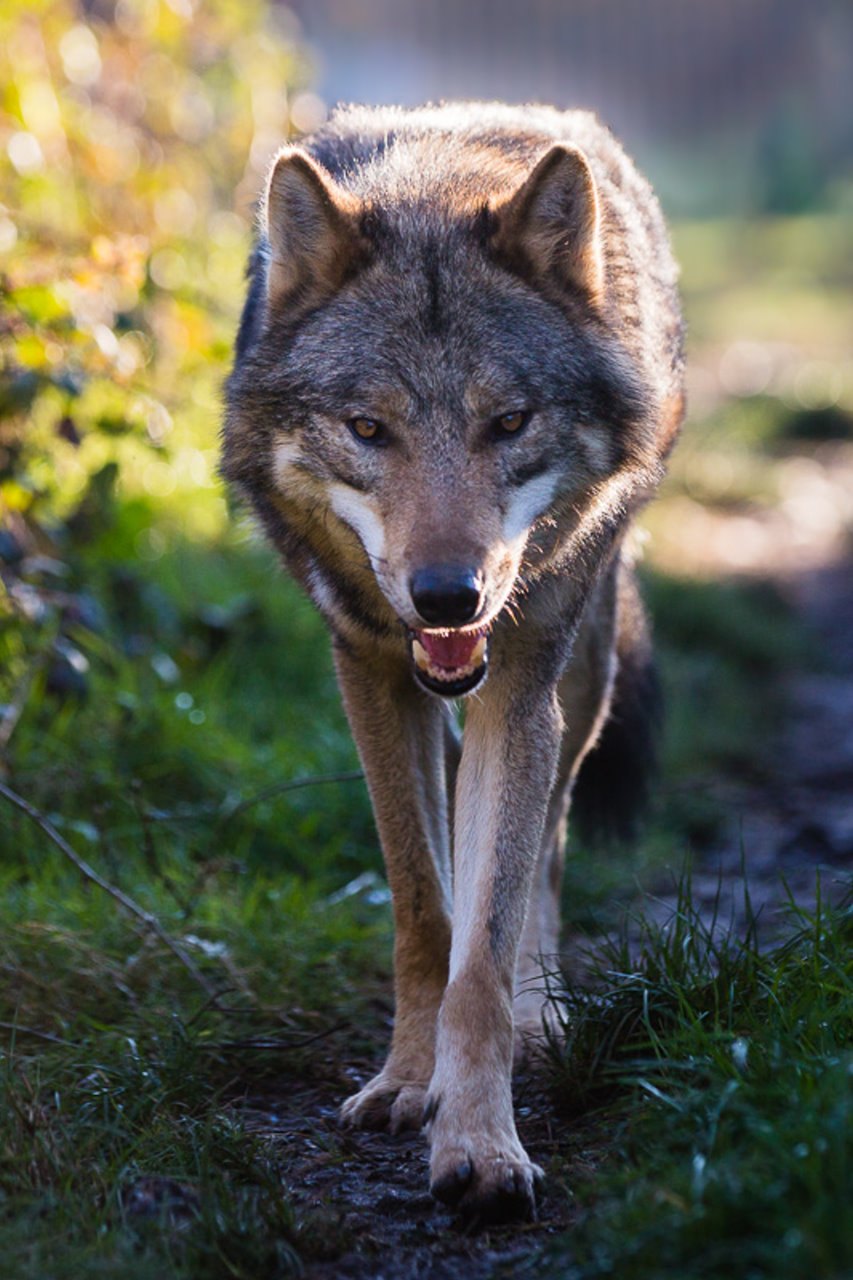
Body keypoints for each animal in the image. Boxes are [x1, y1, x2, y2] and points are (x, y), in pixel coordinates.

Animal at [220, 99, 686, 1218]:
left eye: (507, 421)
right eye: (367, 428)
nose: (446, 597)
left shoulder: (515, 694)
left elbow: (485, 945)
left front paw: (478, 1140)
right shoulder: (368, 674)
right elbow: (426, 913)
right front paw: (403, 1081)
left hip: (580, 674)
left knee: (550, 843)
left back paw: (541, 1012)